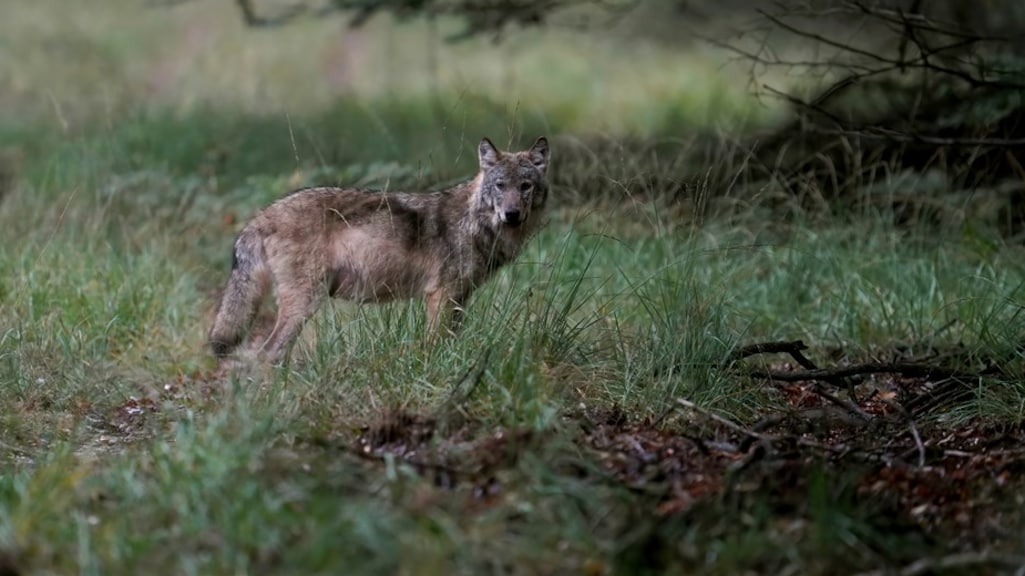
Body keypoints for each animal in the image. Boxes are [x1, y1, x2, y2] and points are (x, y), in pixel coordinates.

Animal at [208, 136, 551, 364]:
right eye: (500, 185)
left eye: (525, 186)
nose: (511, 215)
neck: (475, 223)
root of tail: (262, 215)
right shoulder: (440, 295)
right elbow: (435, 345)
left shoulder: (459, 298)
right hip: (304, 304)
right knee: (268, 354)